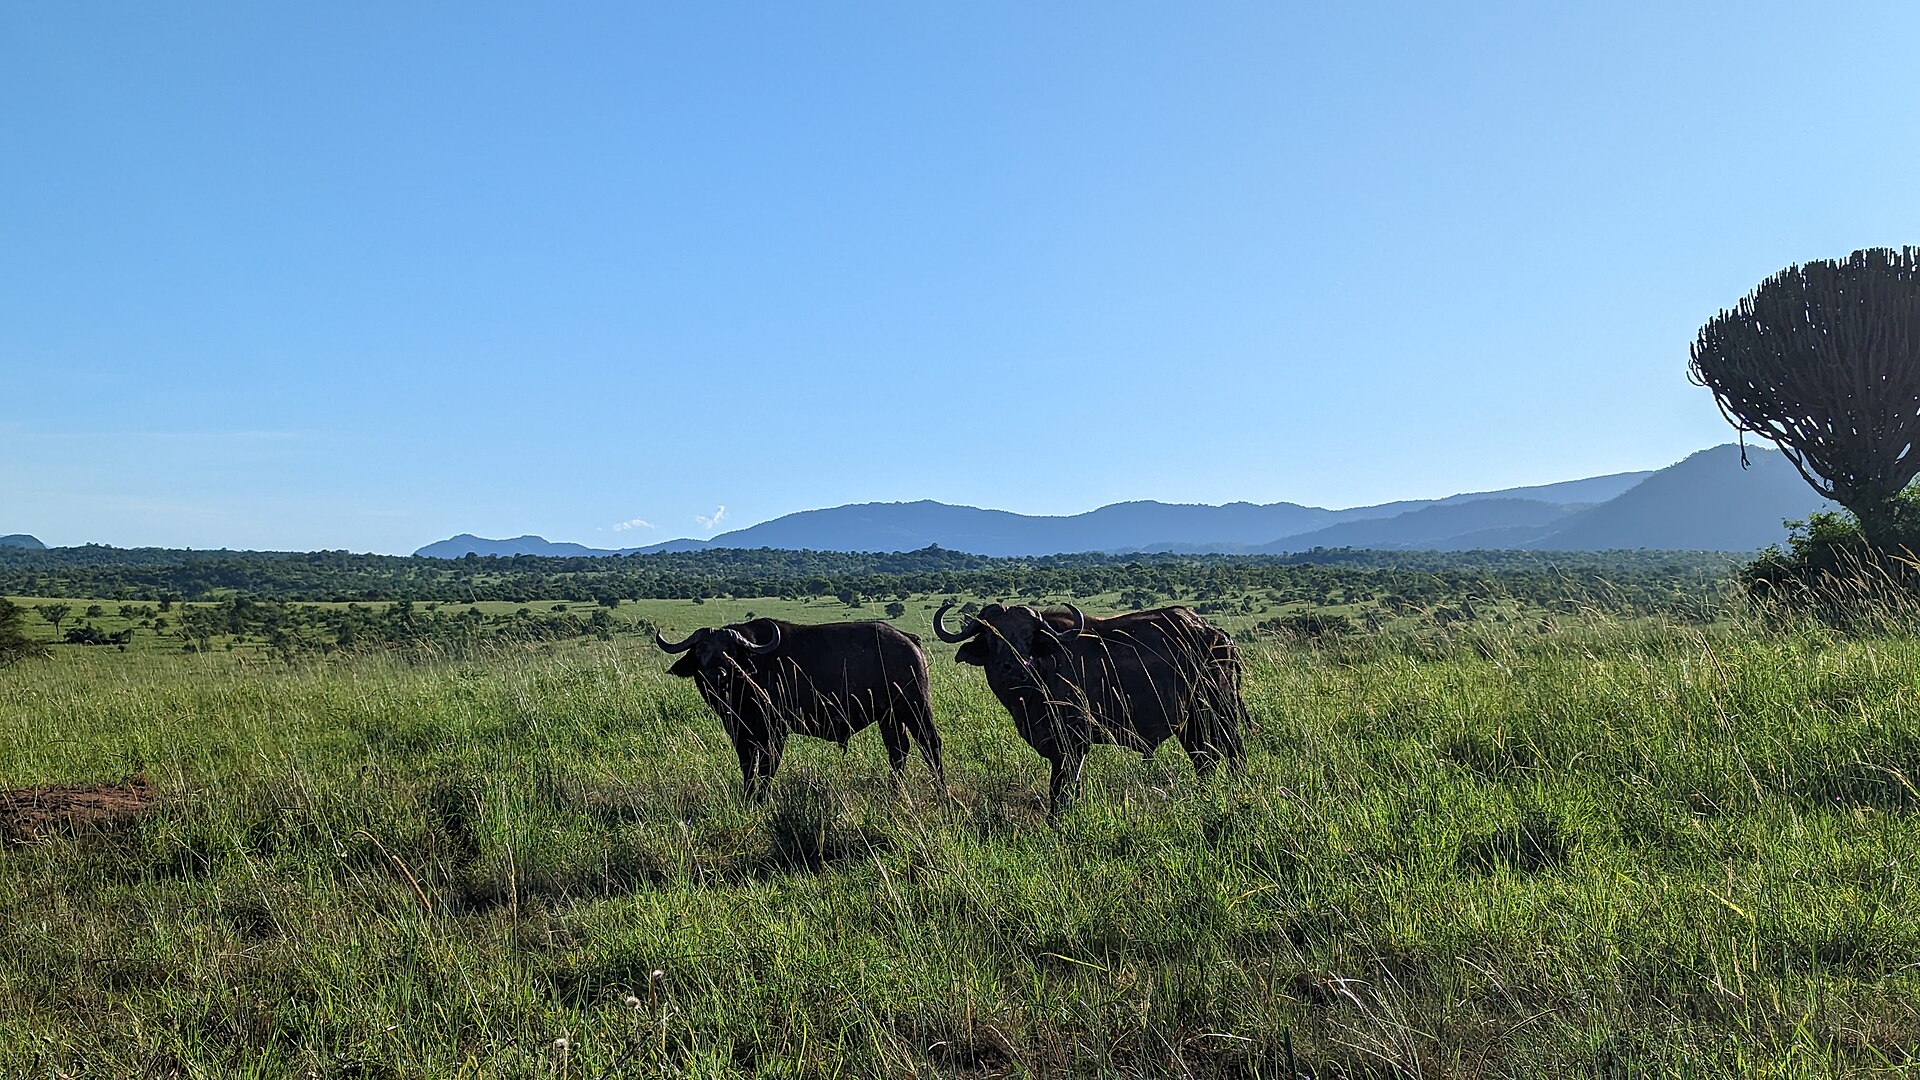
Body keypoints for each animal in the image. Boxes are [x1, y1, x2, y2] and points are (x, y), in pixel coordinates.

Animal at [656, 618, 944, 799]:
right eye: (701, 649)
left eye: (730, 650)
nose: (717, 673)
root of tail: (908, 640)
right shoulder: (740, 733)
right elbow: (748, 768)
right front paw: (748, 798)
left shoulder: (774, 732)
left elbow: (767, 767)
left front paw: (761, 799)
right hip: (889, 717)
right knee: (898, 751)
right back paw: (894, 792)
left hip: (915, 707)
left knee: (930, 745)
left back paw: (941, 791)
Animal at [934, 601, 1246, 813]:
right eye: (992, 638)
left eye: (1028, 637)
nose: (1016, 668)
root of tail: (1217, 634)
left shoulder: (1073, 744)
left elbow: (1061, 790)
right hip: (1191, 723)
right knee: (1205, 759)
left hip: (1220, 710)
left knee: (1234, 751)